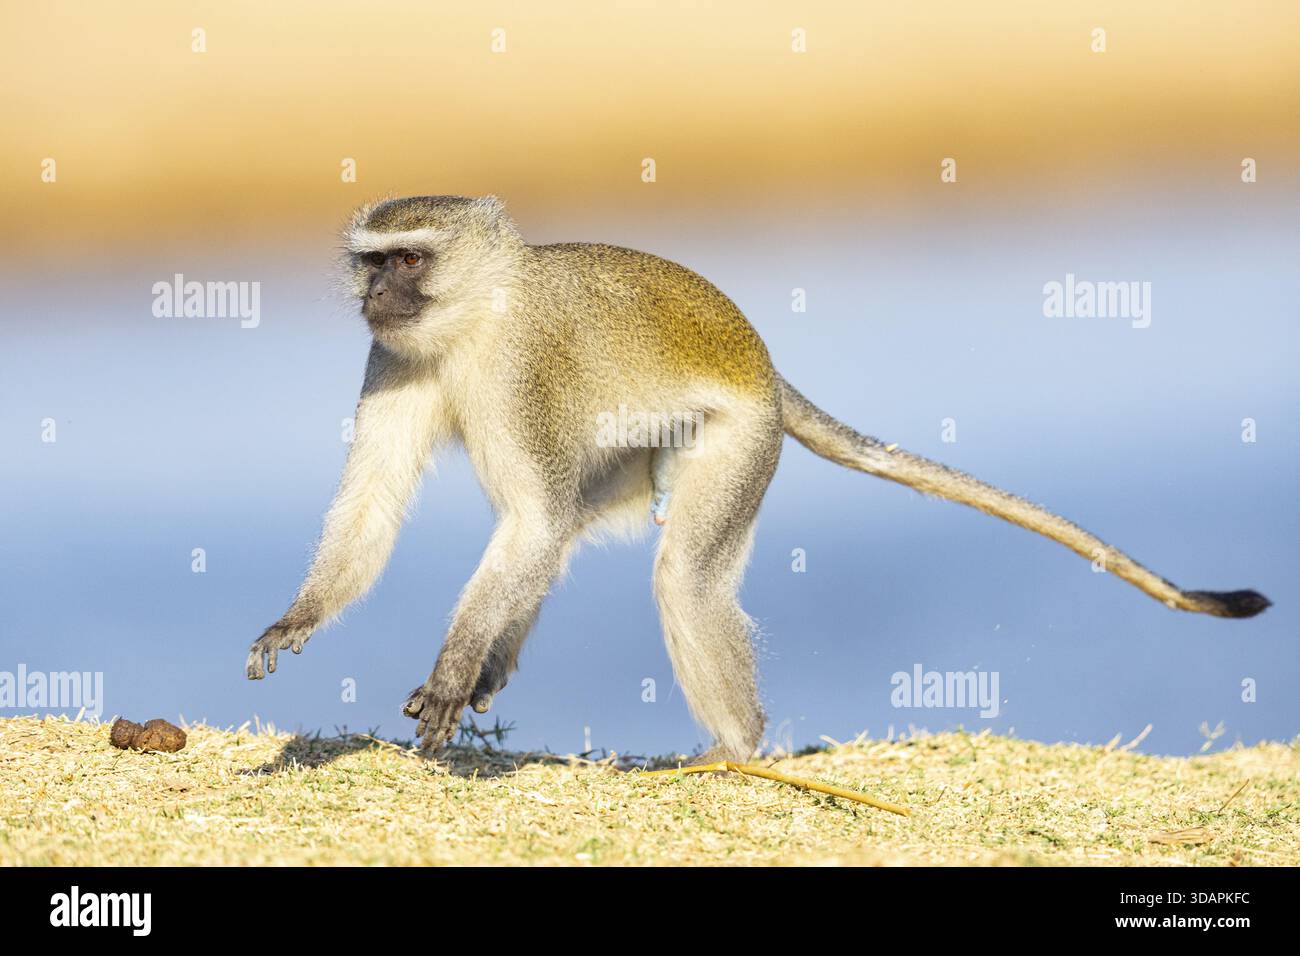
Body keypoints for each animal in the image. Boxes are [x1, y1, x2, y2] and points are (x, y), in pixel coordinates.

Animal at [245, 195, 1270, 762]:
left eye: (410, 259)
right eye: (372, 264)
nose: (376, 296)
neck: (471, 320)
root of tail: (768, 372)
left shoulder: (521, 371)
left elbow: (530, 519)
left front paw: (454, 668)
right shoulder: (391, 357)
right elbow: (379, 507)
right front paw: (300, 618)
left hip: (740, 443)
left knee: (680, 581)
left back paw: (737, 756)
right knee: (576, 534)